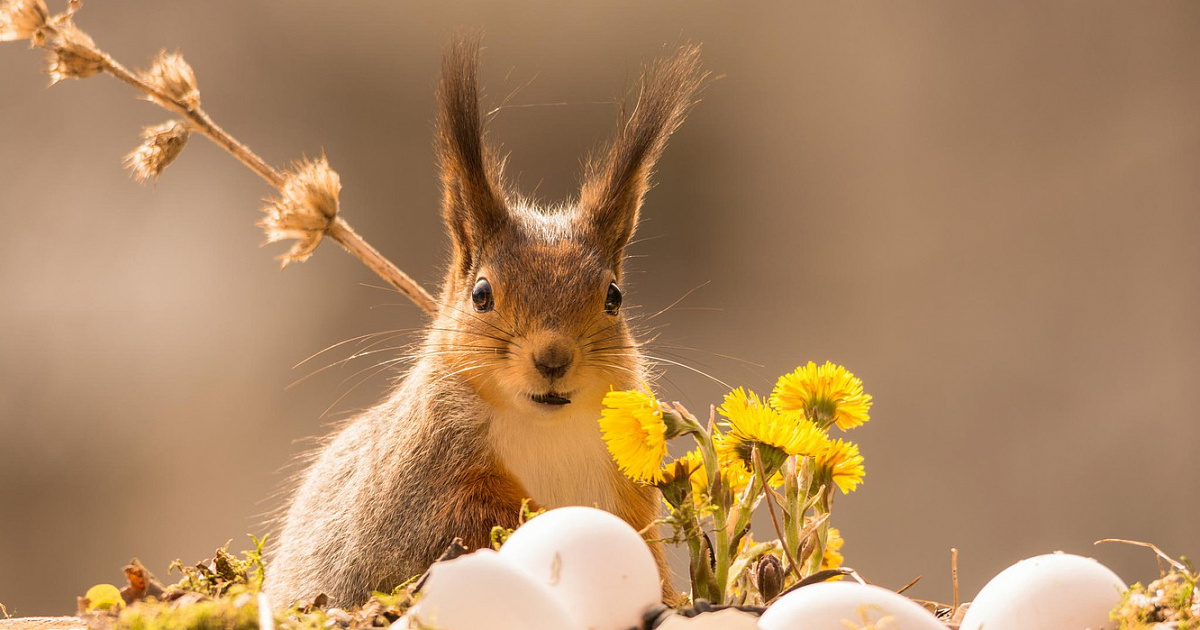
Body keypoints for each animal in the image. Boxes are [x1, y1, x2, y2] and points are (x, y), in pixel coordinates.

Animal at [265, 36, 700, 607]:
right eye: (481, 294)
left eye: (614, 296)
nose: (553, 359)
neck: (545, 427)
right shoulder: (421, 489)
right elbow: (463, 529)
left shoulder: (629, 489)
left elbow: (646, 551)